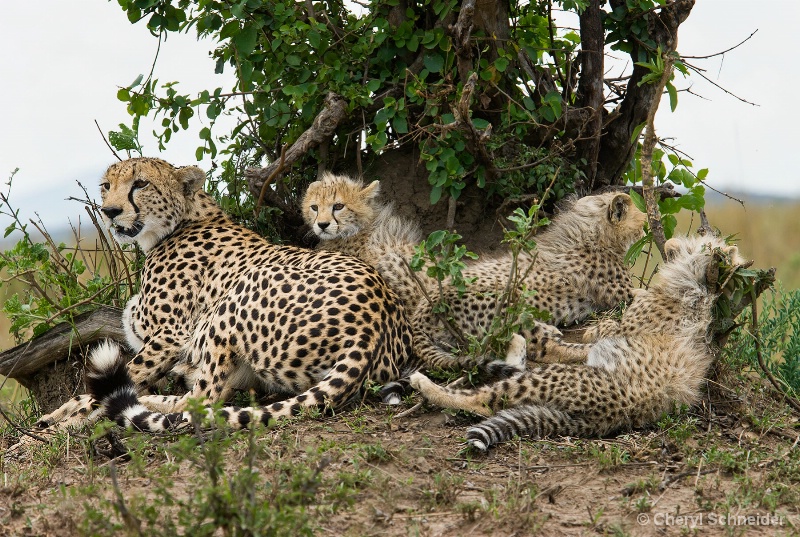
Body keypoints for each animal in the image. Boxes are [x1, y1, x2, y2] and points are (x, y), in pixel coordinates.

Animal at [35, 157, 416, 434]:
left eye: (140, 184)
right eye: (106, 186)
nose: (110, 212)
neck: (181, 221)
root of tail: (375, 323)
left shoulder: (170, 335)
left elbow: (105, 386)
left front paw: (60, 425)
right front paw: (56, 416)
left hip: (237, 298)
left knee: (201, 403)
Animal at [304, 174, 648, 366]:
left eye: (337, 206)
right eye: (643, 220)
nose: (648, 227)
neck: (589, 233)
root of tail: (418, 315)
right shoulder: (621, 291)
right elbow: (647, 293)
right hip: (505, 305)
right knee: (544, 347)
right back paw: (594, 344)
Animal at [410, 234, 748, 448]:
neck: (695, 291)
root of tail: (616, 416)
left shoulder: (621, 329)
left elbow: (602, 328)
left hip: (552, 378)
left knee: (483, 400)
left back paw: (423, 383)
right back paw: (516, 342)